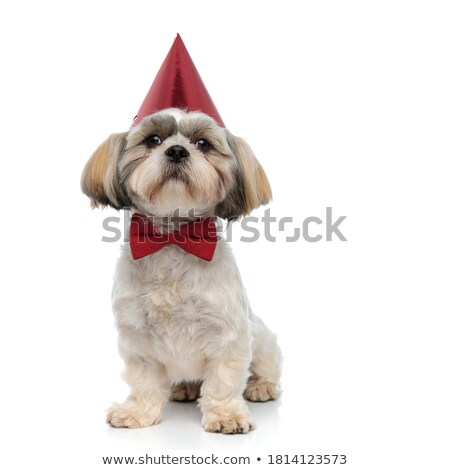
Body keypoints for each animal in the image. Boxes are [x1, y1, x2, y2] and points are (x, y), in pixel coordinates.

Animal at [81, 107, 282, 434]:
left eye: (202, 143)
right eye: (153, 139)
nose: (176, 150)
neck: (174, 238)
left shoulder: (229, 335)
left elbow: (223, 381)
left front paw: (226, 414)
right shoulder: (137, 336)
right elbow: (144, 381)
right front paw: (137, 411)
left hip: (262, 339)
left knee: (267, 366)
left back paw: (260, 386)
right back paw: (184, 388)